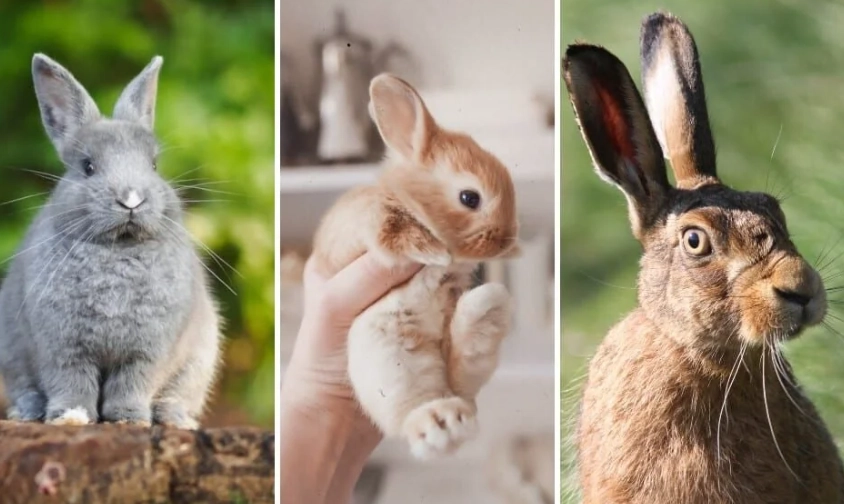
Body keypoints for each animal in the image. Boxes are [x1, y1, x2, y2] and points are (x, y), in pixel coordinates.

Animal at [0, 54, 221, 429]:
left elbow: (132, 383)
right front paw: (70, 417)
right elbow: (71, 382)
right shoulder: (62, 348)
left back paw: (174, 418)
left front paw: (128, 419)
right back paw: (26, 412)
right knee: (27, 389)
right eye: (88, 167)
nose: (131, 199)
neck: (119, 248)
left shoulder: (147, 352)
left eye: (154, 165)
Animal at [311, 74, 519, 459]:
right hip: (386, 354)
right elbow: (391, 231)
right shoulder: (364, 229)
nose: (506, 240)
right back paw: (441, 422)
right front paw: (433, 252)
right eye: (470, 197)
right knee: (416, 409)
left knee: (463, 371)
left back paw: (481, 309)